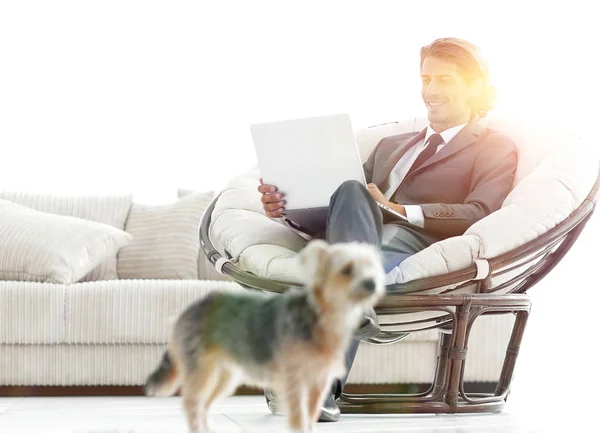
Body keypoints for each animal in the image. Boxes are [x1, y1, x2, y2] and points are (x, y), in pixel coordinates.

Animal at [148, 238, 386, 430]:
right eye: (346, 270)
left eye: (372, 267)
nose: (371, 283)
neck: (322, 315)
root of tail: (189, 309)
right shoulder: (293, 380)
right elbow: (298, 417)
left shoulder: (318, 382)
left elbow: (310, 416)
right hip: (201, 370)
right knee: (191, 404)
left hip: (223, 375)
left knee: (203, 405)